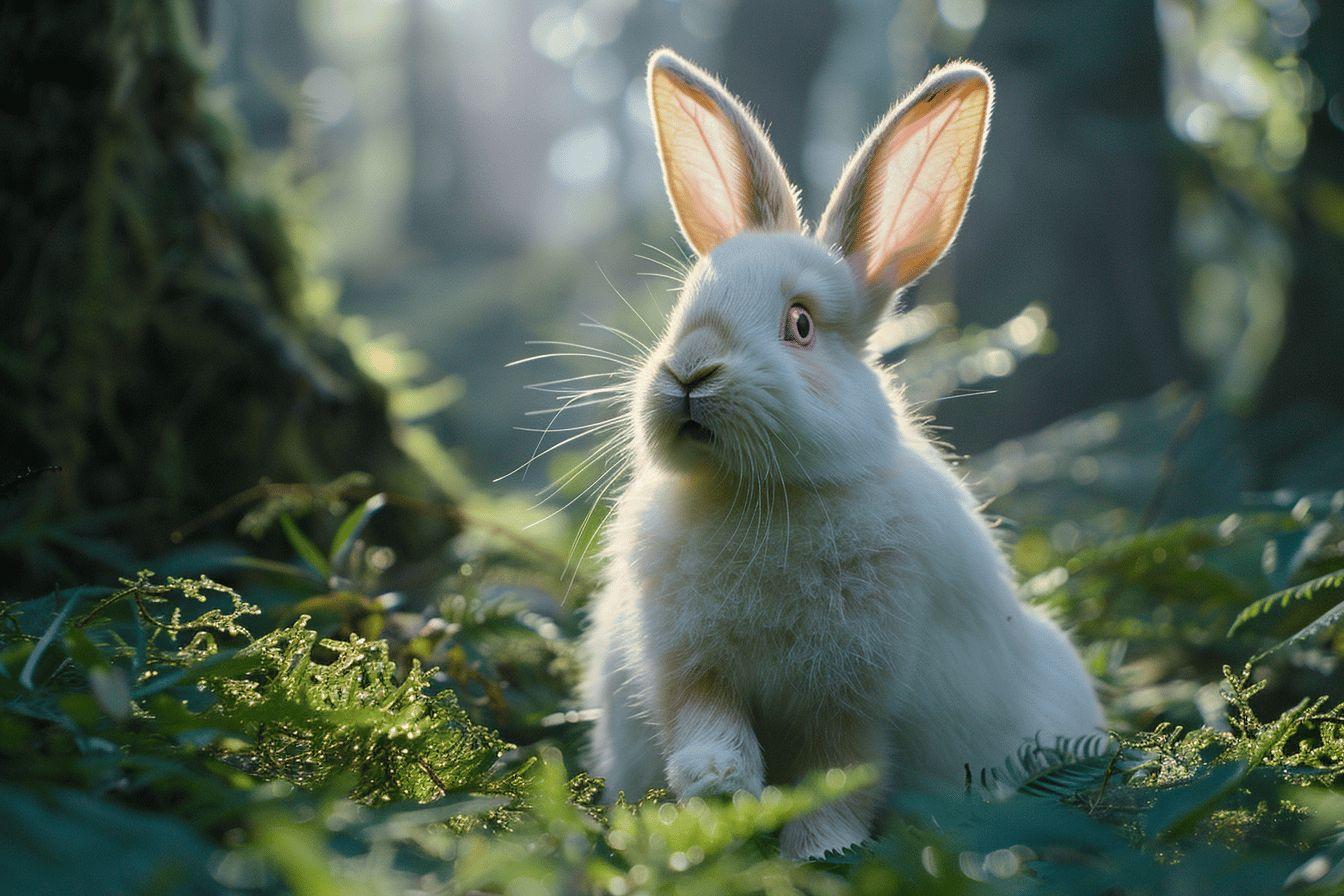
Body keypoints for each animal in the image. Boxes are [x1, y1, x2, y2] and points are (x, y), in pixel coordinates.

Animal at [578, 48, 1104, 861]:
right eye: (682, 309)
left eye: (800, 324)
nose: (690, 372)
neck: (756, 494)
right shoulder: (689, 667)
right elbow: (706, 720)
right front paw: (716, 784)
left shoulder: (853, 695)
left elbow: (843, 773)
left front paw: (819, 852)